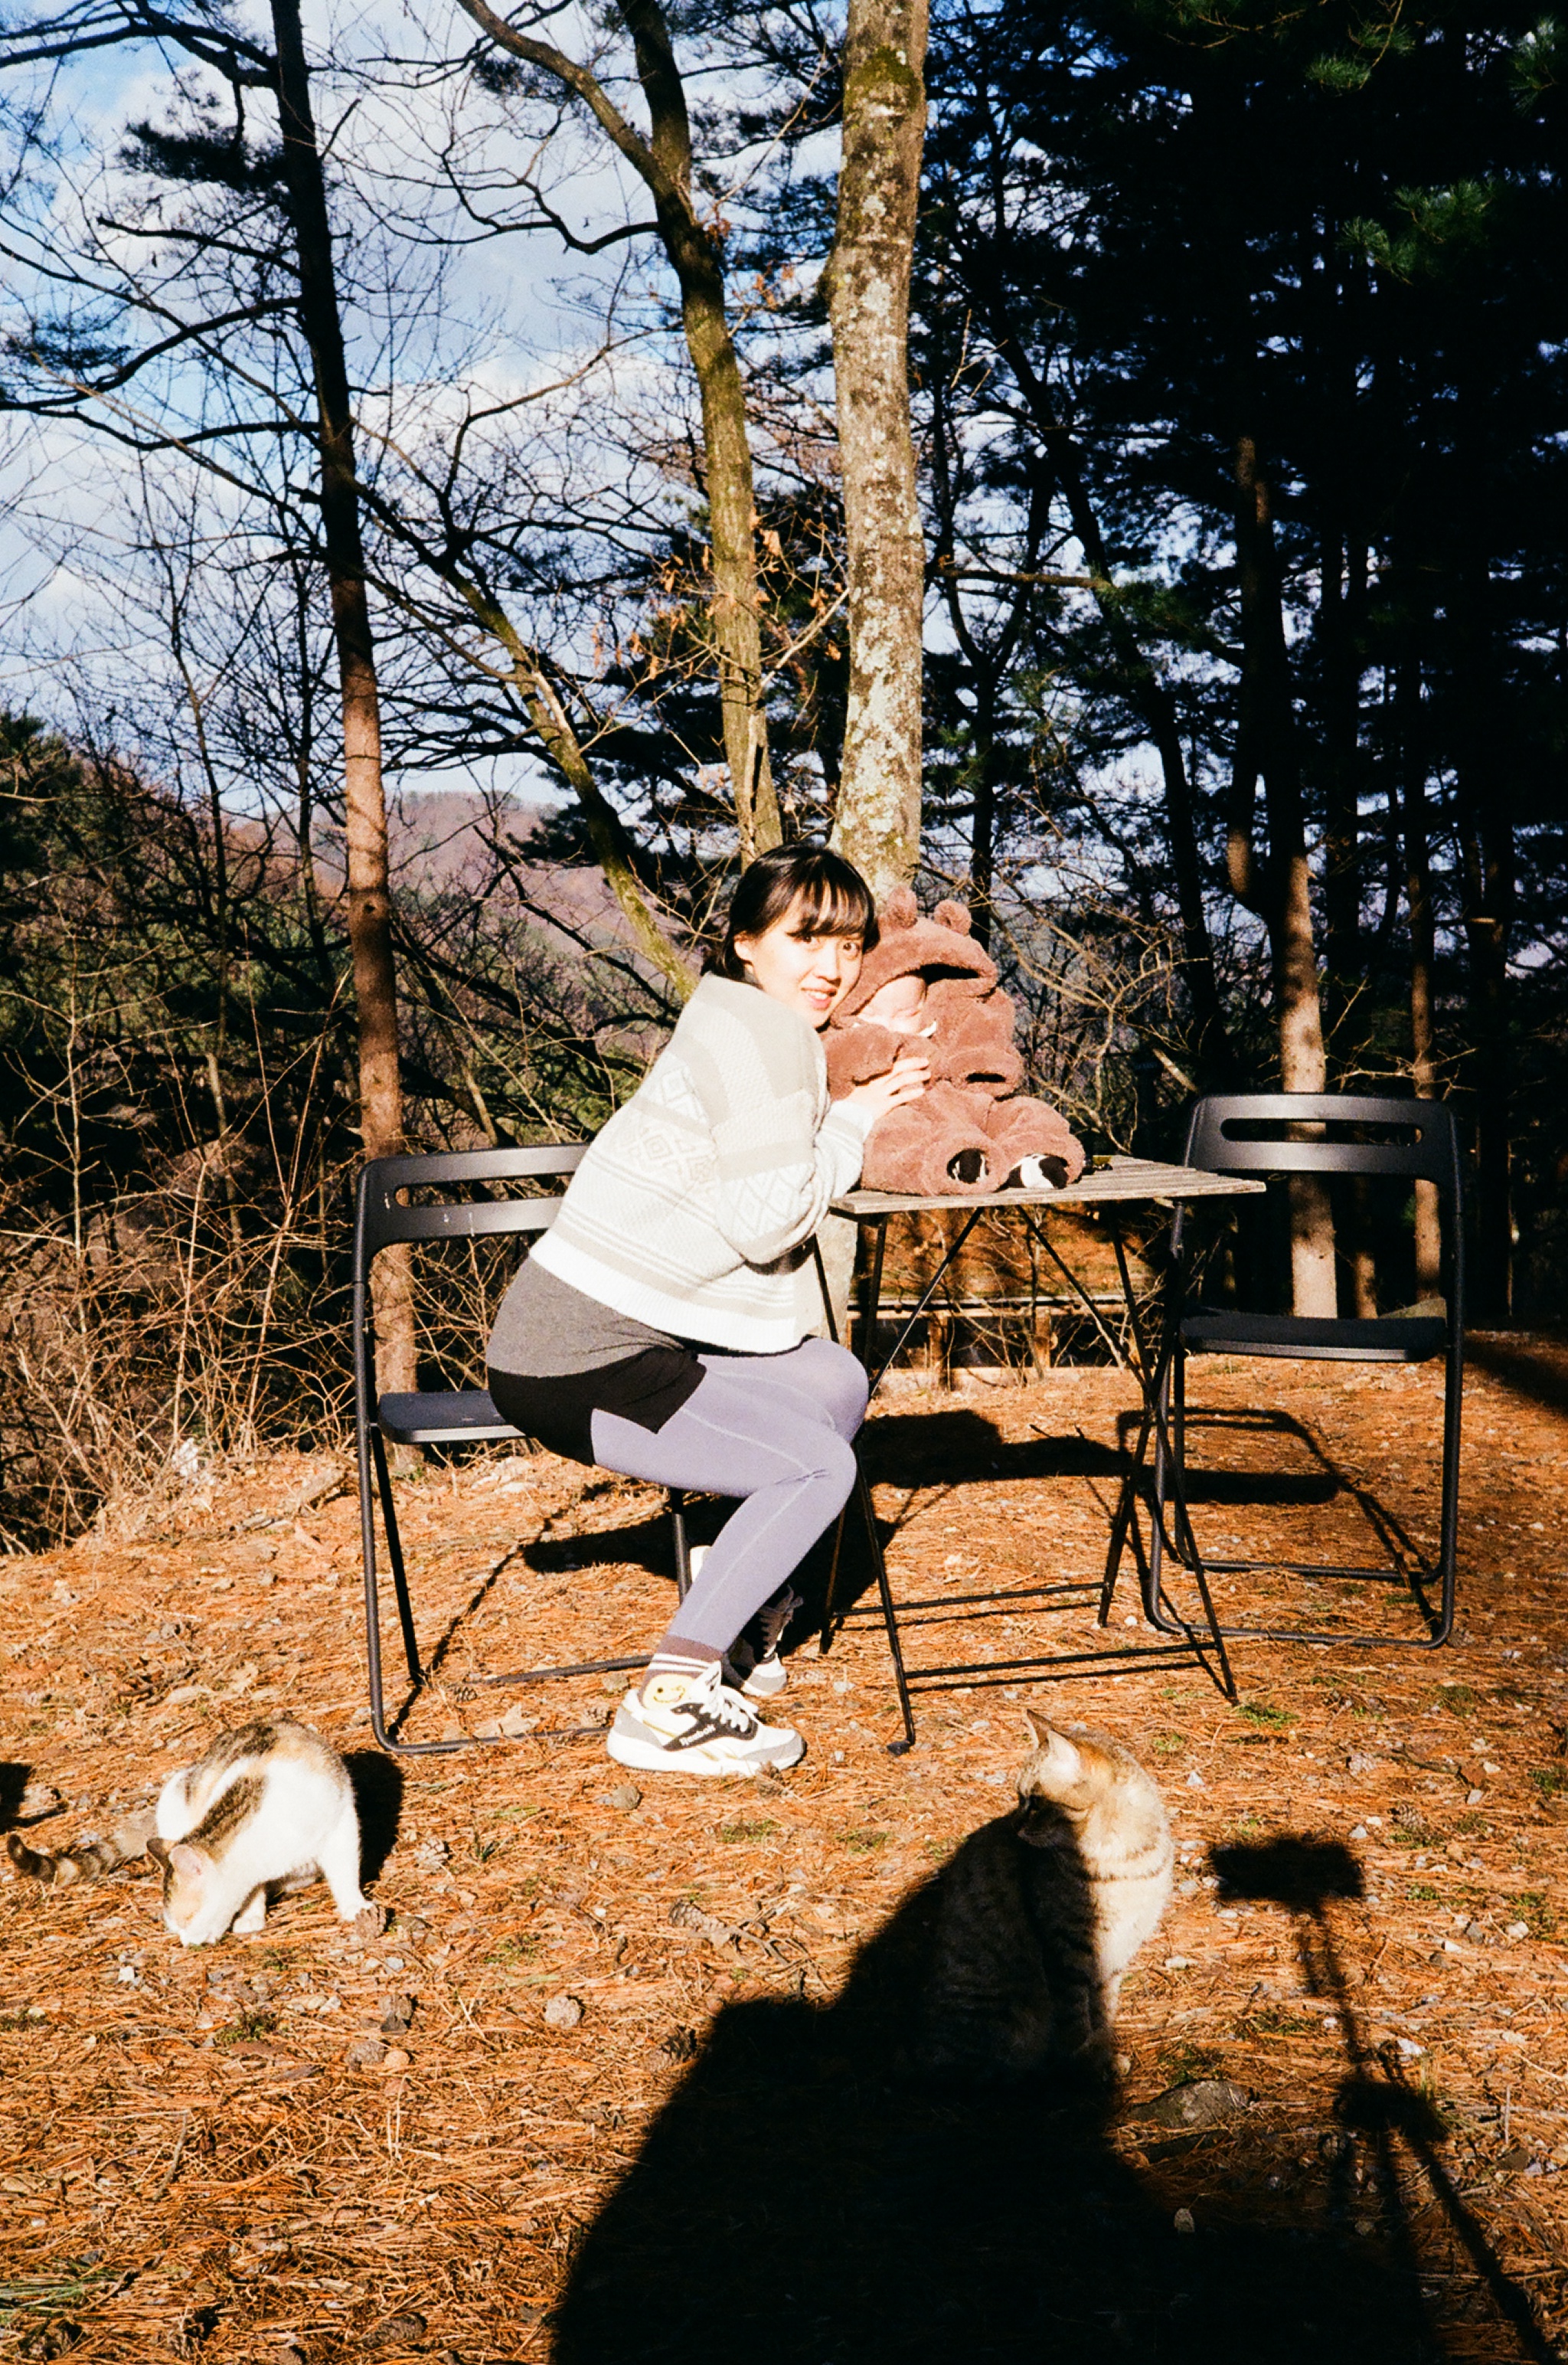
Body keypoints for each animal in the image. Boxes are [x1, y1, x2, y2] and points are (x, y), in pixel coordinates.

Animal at [8, 1719, 378, 1947]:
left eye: (187, 1919)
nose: (186, 1943)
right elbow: (253, 1889)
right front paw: (251, 1916)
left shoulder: (341, 1822)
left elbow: (345, 1872)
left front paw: (355, 1906)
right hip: (175, 1795)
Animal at [919, 1711, 1173, 2083]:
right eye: (1018, 1797)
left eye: (1036, 1802)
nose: (1015, 1826)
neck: (1122, 1862)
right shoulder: (1066, 1948)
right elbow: (1077, 2019)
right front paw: (1088, 2064)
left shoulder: (1117, 1949)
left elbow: (1104, 2007)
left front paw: (1104, 2052)